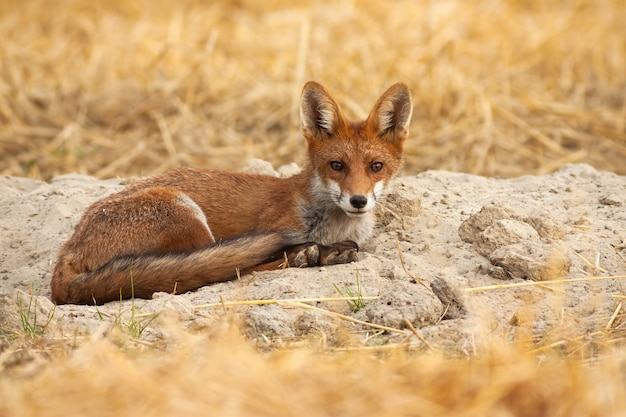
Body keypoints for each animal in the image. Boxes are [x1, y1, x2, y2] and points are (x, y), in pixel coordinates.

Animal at [51, 81, 412, 304]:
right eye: (337, 165)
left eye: (376, 166)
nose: (358, 200)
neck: (333, 226)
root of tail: (68, 249)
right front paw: (316, 252)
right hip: (187, 218)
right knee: (224, 271)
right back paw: (310, 256)